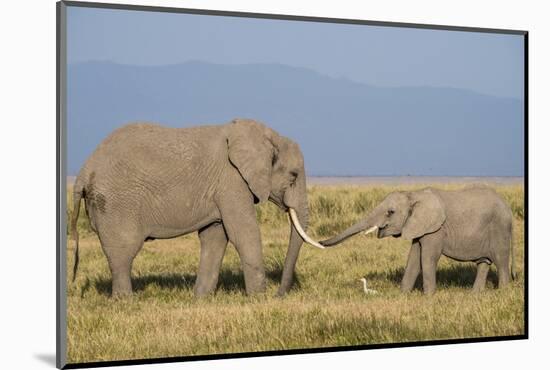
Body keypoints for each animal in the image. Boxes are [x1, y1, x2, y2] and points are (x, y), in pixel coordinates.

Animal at [71, 118, 326, 298]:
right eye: (293, 176)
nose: (279, 295)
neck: (268, 136)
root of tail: (84, 170)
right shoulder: (232, 181)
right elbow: (243, 234)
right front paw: (258, 298)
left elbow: (215, 236)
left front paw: (201, 298)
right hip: (116, 203)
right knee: (123, 253)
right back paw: (126, 301)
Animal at [322, 188, 516, 294]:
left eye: (390, 212)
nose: (321, 243)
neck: (414, 194)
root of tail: (509, 209)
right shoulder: (417, 226)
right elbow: (414, 257)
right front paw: (403, 294)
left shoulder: (435, 229)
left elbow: (428, 258)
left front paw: (429, 296)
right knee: (483, 263)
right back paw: (474, 294)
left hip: (500, 229)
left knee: (501, 261)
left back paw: (503, 292)